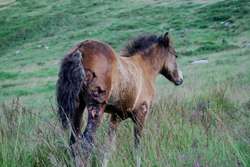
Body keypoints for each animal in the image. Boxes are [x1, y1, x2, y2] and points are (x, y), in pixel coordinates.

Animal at [57, 31, 185, 166]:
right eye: (176, 55)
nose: (181, 78)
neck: (143, 68)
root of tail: (81, 48)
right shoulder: (141, 113)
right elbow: (137, 146)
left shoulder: (115, 117)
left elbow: (108, 148)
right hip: (96, 109)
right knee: (86, 144)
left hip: (78, 108)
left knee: (73, 143)